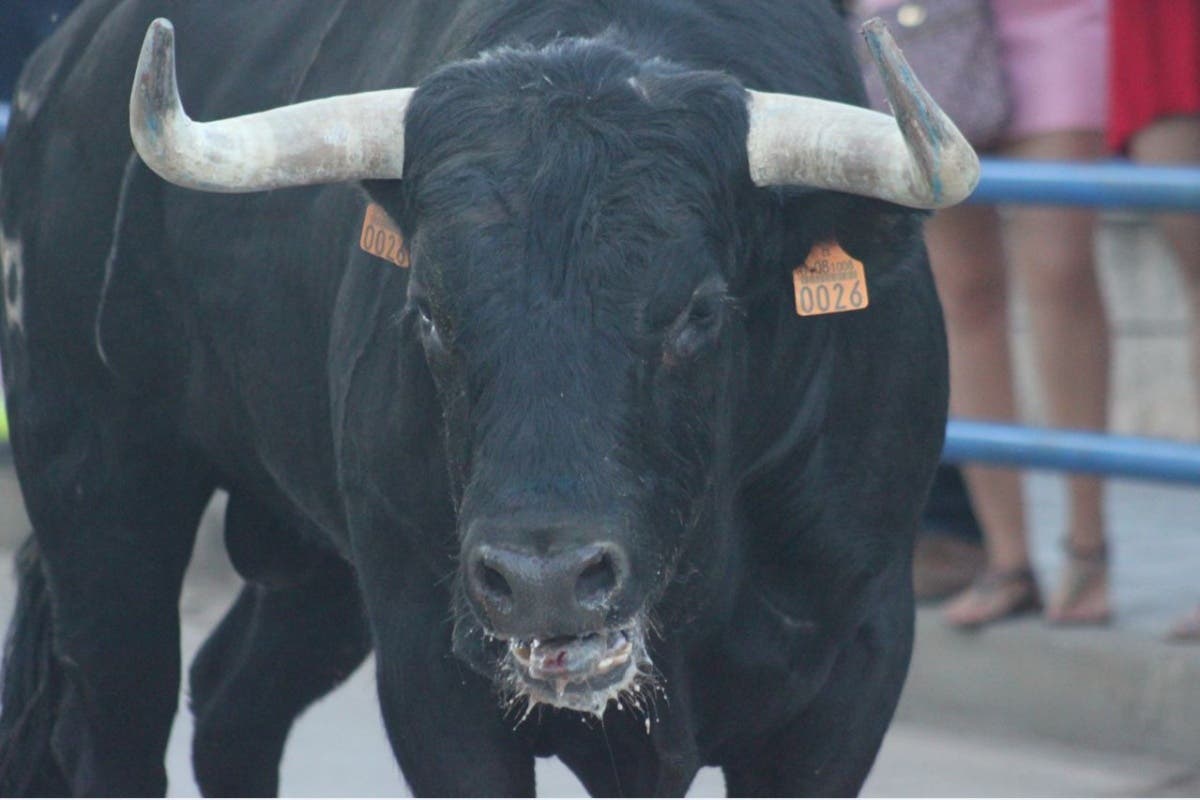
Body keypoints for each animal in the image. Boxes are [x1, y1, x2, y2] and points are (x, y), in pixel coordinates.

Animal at [0, 0, 974, 796]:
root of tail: (67, 59)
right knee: (119, 734)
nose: (546, 580)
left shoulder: (851, 672)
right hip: (97, 482)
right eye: (429, 310)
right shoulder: (433, 678)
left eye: (699, 311)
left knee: (234, 705)